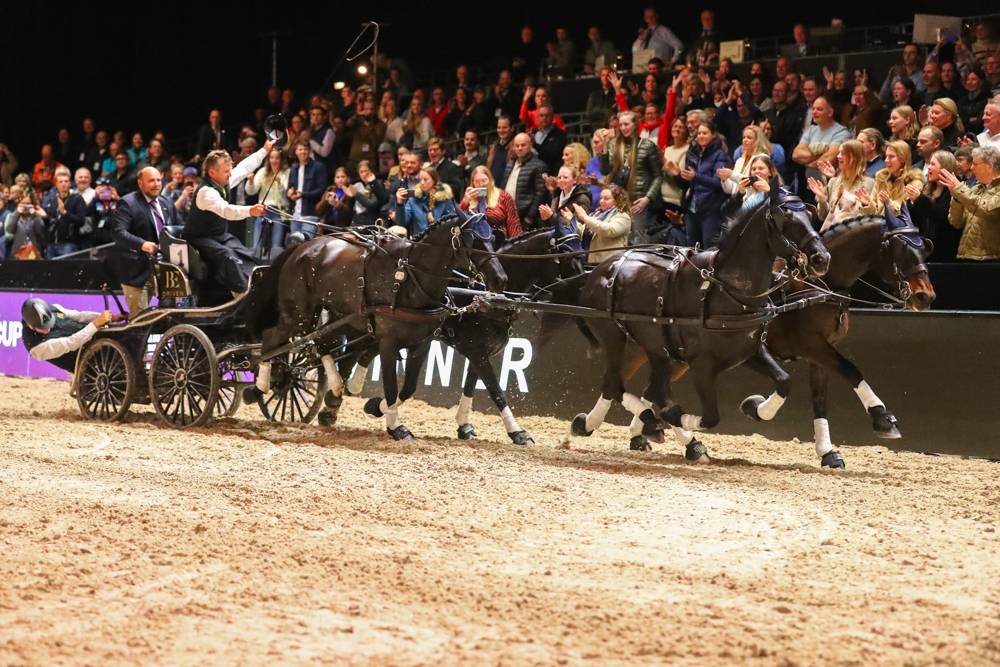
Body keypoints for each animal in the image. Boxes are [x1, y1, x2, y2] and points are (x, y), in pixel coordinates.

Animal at [247, 213, 508, 440]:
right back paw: (257, 389)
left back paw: (334, 388)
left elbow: (408, 388)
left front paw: (377, 409)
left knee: (321, 344)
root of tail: (303, 247)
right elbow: (391, 386)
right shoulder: (388, 342)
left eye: (493, 238)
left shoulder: (421, 343)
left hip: (340, 316)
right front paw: (396, 427)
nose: (500, 279)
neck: (408, 278)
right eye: (474, 240)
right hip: (297, 315)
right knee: (271, 338)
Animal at [350, 220, 587, 445]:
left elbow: (470, 387)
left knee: (368, 353)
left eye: (582, 252)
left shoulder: (480, 354)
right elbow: (496, 391)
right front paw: (518, 433)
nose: (586, 290)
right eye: (567, 255)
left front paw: (464, 425)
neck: (488, 299)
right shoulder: (477, 352)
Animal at [550, 185, 831, 464]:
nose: (822, 258)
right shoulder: (702, 365)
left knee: (644, 389)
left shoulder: (750, 352)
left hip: (655, 348)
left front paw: (755, 407)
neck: (726, 289)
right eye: (786, 219)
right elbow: (709, 416)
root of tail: (599, 269)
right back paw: (651, 425)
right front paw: (671, 421)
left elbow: (784, 381)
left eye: (809, 214)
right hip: (614, 338)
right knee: (616, 386)